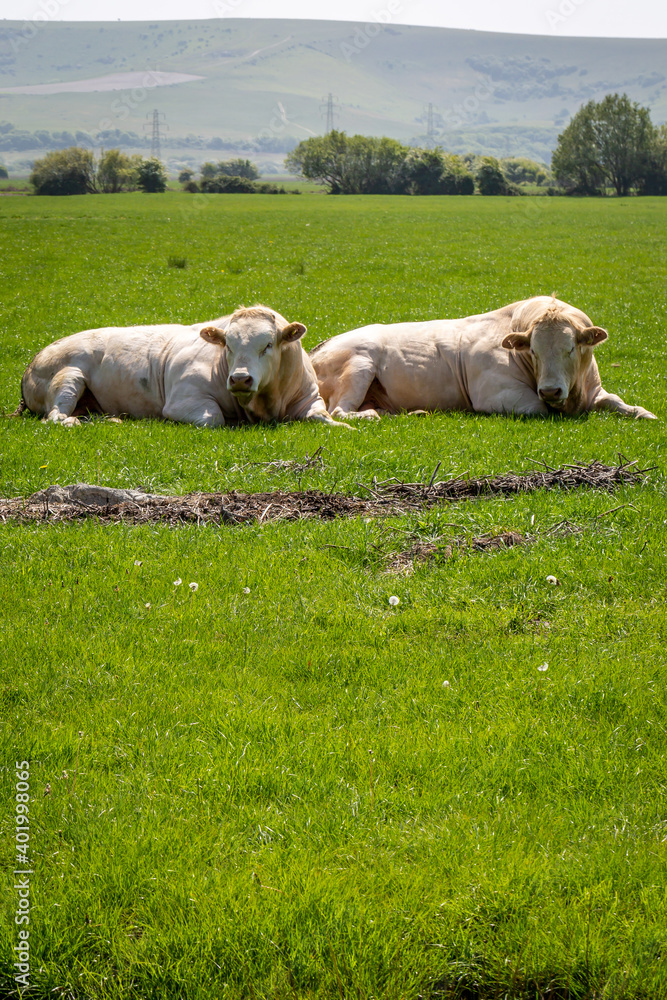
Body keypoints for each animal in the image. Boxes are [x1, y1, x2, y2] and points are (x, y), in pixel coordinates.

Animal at [18, 305, 348, 428]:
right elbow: (214, 418)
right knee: (55, 416)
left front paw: (347, 425)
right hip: (69, 377)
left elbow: (324, 418)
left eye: (267, 345)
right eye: (228, 345)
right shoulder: (183, 401)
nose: (240, 379)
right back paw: (73, 421)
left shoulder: (309, 398)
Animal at [310, 296, 657, 421]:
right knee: (341, 411)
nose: (550, 390)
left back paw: (412, 412)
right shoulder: (499, 395)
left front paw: (645, 413)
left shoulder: (595, 389)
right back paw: (371, 416)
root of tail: (319, 347)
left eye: (570, 348)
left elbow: (621, 403)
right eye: (533, 350)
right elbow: (540, 409)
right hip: (360, 365)